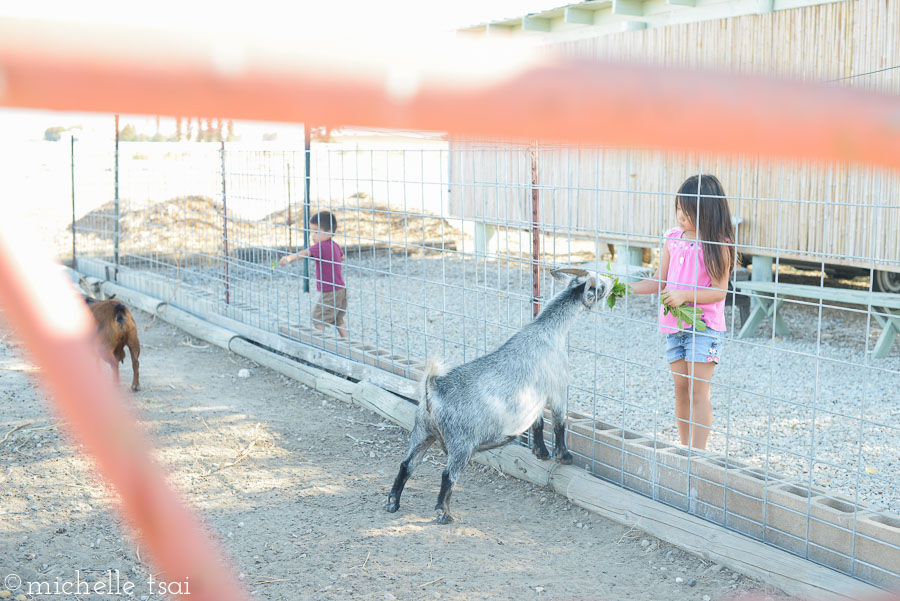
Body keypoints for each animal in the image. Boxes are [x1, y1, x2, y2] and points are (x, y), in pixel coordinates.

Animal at [386, 270, 612, 524]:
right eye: (600, 285)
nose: (612, 282)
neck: (548, 330)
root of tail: (432, 390)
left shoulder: (534, 399)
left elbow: (537, 423)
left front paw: (541, 453)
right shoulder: (557, 389)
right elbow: (559, 423)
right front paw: (563, 457)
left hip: (421, 432)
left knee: (406, 464)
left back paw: (393, 503)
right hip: (461, 444)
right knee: (447, 475)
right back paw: (444, 514)